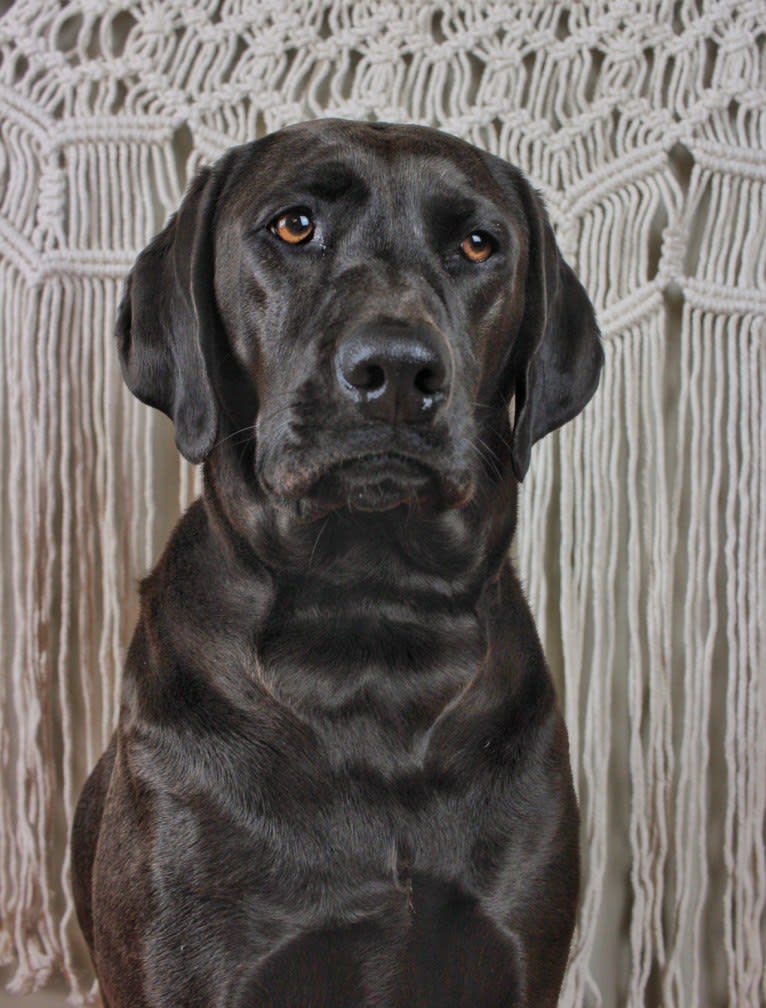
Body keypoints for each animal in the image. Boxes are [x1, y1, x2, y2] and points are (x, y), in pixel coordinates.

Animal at [70, 119, 604, 1008]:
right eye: (294, 226)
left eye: (478, 244)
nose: (397, 373)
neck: (368, 625)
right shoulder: (191, 966)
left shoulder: (518, 953)